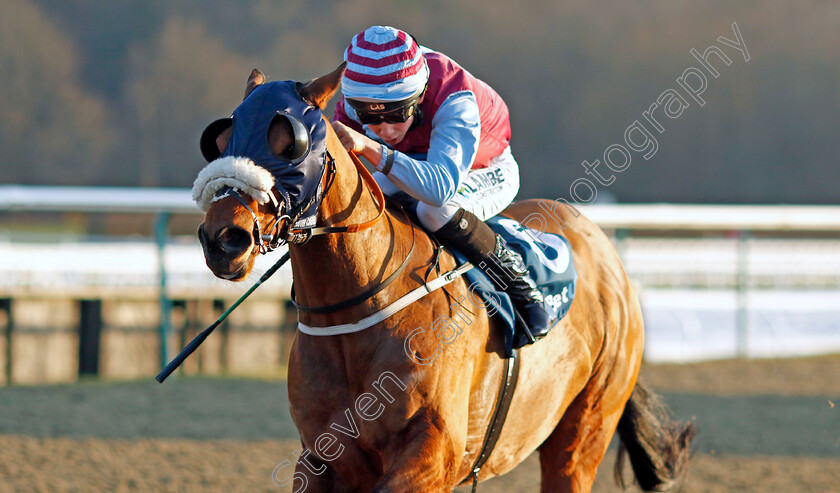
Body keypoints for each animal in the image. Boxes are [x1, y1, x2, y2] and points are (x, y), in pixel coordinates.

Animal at [197, 63, 696, 490]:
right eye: (220, 141)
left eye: (291, 144)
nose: (223, 238)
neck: (358, 312)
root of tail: (604, 253)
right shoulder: (321, 458)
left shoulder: (434, 455)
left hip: (583, 431)